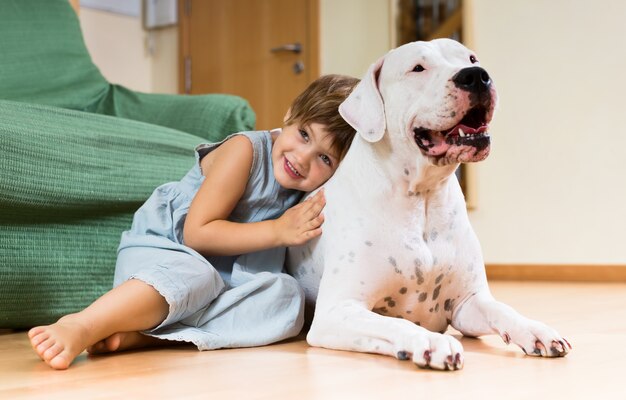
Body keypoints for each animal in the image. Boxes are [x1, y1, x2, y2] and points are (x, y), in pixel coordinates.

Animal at [286, 39, 568, 370]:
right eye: (418, 68)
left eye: (471, 58)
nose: (476, 76)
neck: (422, 198)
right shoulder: (336, 311)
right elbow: (395, 322)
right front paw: (431, 341)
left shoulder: (467, 303)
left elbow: (502, 309)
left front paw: (535, 330)